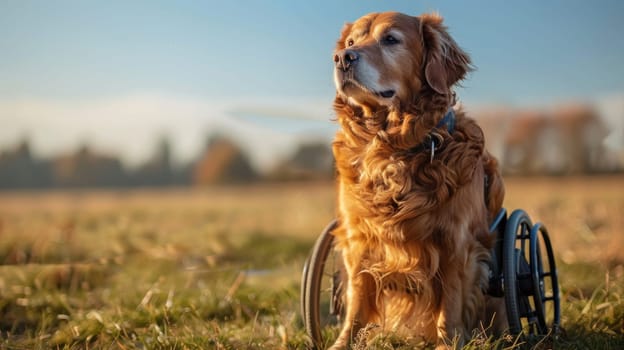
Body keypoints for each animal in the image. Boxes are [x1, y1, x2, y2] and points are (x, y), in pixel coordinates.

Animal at [332, 12, 508, 348]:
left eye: (390, 39)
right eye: (350, 41)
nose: (342, 58)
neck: (393, 148)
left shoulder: (455, 242)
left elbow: (449, 305)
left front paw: (447, 342)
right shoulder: (359, 240)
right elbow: (357, 300)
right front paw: (343, 341)